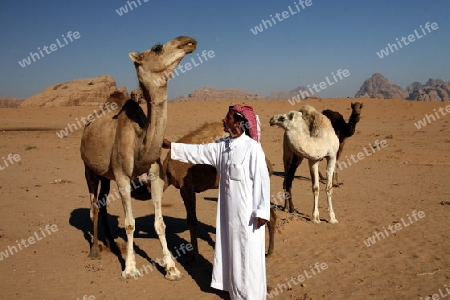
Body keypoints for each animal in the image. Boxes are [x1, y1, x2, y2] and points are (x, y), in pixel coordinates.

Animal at [80, 36, 196, 280]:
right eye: (157, 48)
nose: (188, 41)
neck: (139, 146)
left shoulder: (155, 176)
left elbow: (160, 224)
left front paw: (171, 268)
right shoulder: (123, 177)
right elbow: (130, 224)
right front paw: (130, 268)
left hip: (106, 176)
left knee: (103, 202)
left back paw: (112, 243)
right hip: (89, 169)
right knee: (94, 204)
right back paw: (95, 250)